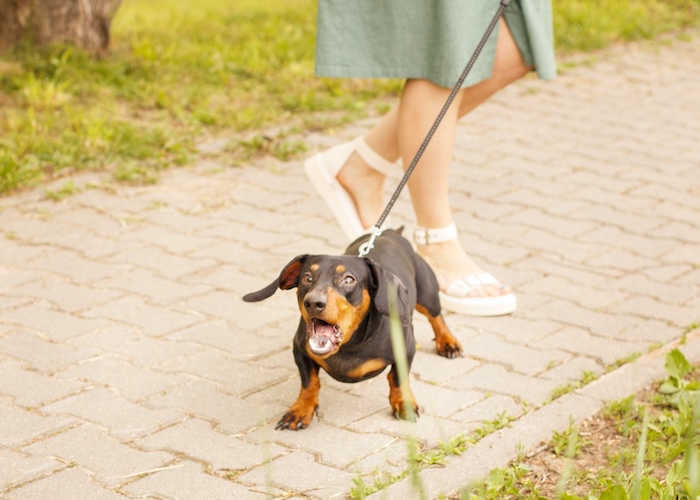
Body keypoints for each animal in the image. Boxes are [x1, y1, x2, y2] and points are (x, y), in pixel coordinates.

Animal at [243, 230, 462, 430]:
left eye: (349, 280)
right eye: (307, 277)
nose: (313, 303)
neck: (351, 345)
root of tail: (390, 232)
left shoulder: (406, 349)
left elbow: (397, 378)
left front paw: (403, 403)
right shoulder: (300, 349)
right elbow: (310, 382)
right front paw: (301, 409)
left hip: (427, 293)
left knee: (436, 316)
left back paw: (448, 342)